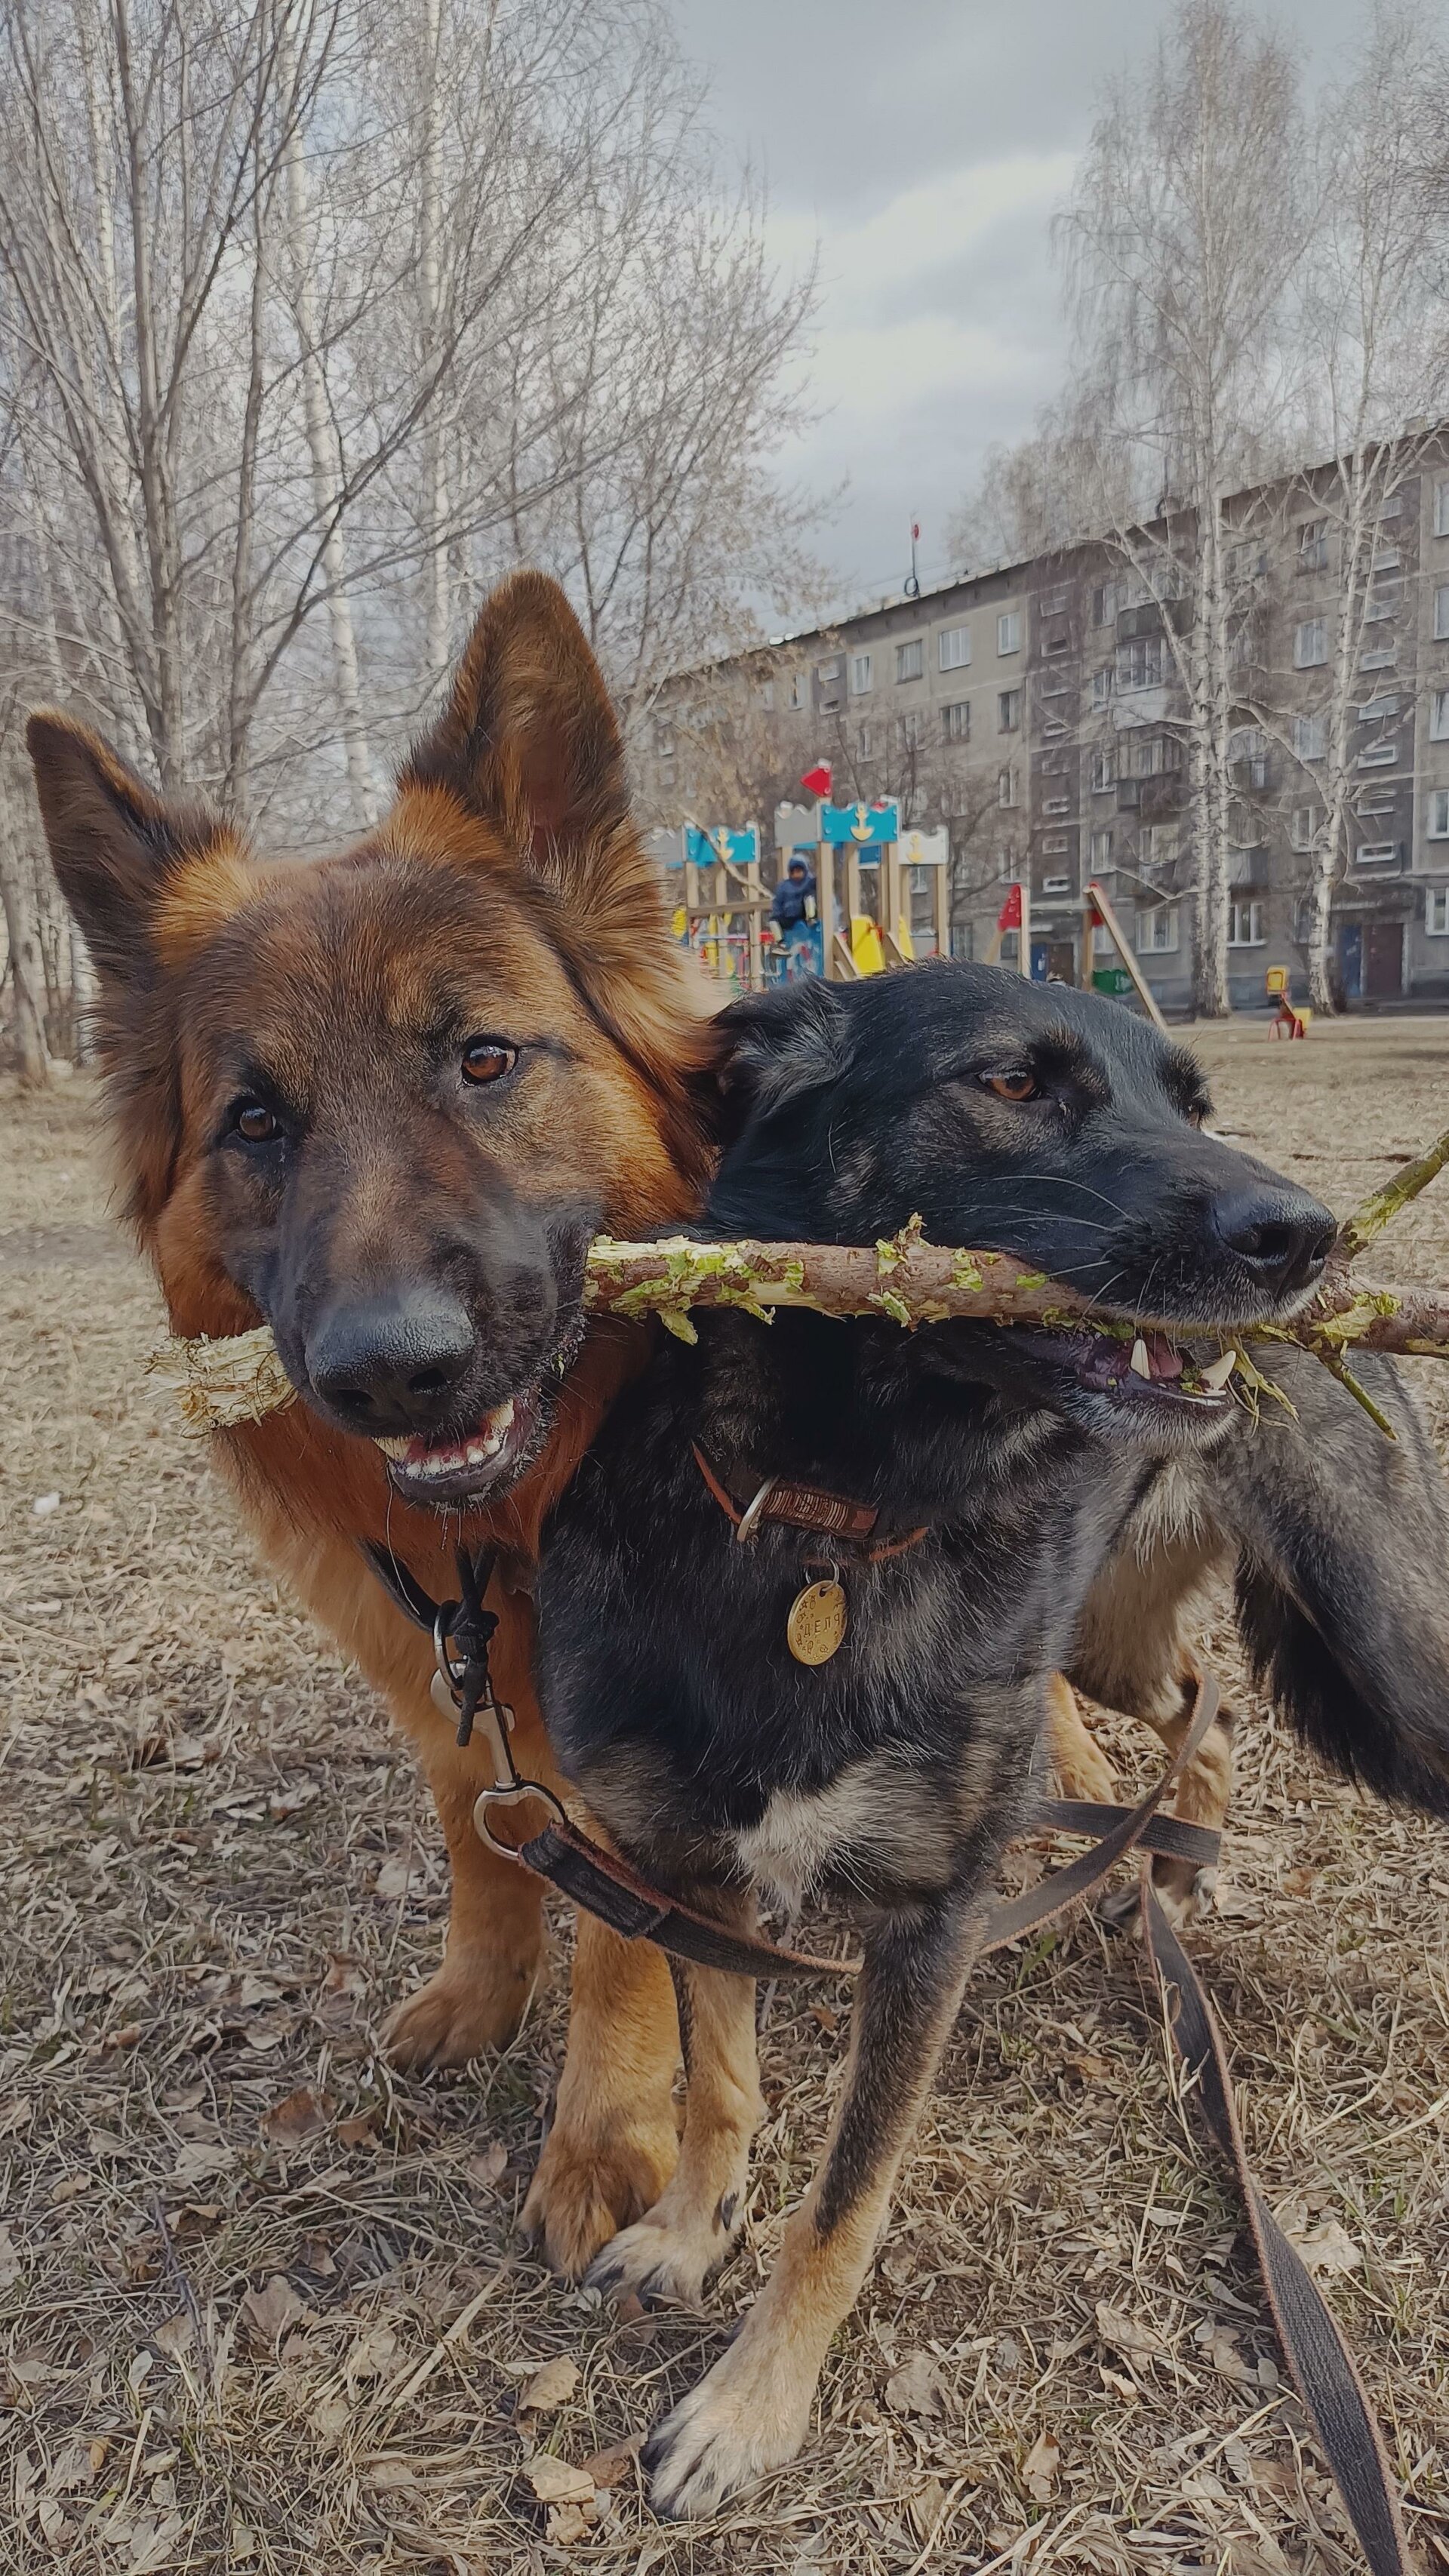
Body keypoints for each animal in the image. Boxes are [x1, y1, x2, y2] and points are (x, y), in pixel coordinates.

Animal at [532, 968, 1431, 2514]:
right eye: (1013, 1084)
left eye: (1193, 1100)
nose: (1304, 1237)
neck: (825, 1516)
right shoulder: (691, 1874)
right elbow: (718, 2089)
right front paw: (692, 2232)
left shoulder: (929, 1921)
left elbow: (843, 2199)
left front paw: (750, 2407)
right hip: (1103, 1645)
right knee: (1202, 1702)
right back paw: (1167, 1866)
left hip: (1389, 1652)